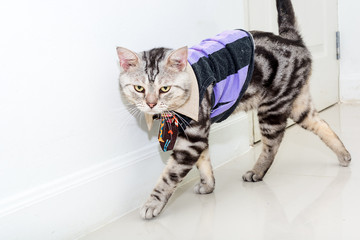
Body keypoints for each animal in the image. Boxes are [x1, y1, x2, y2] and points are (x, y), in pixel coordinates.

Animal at [116, 0, 352, 219]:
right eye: (139, 88)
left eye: (164, 88)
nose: (151, 103)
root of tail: (292, 39)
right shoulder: (197, 133)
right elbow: (204, 162)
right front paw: (208, 185)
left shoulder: (193, 137)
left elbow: (170, 174)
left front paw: (152, 203)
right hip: (298, 105)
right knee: (322, 124)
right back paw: (344, 155)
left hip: (272, 109)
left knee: (272, 145)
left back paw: (257, 171)